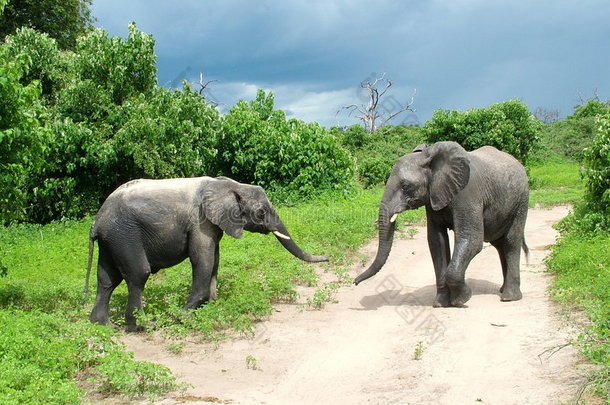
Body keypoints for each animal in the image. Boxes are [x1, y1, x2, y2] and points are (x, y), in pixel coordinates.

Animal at [84, 175, 328, 330]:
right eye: (260, 212)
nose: (327, 257)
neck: (229, 185)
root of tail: (96, 222)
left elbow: (215, 259)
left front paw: (210, 305)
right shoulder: (199, 220)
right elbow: (202, 258)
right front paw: (182, 315)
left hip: (112, 239)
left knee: (107, 279)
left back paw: (105, 325)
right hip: (124, 234)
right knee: (138, 274)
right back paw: (142, 327)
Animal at [352, 140, 528, 306]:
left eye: (405, 186)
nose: (354, 282)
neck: (429, 158)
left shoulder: (468, 194)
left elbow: (471, 239)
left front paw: (461, 299)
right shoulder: (432, 197)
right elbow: (437, 242)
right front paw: (441, 304)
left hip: (522, 200)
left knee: (511, 242)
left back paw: (509, 297)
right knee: (499, 244)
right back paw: (503, 290)